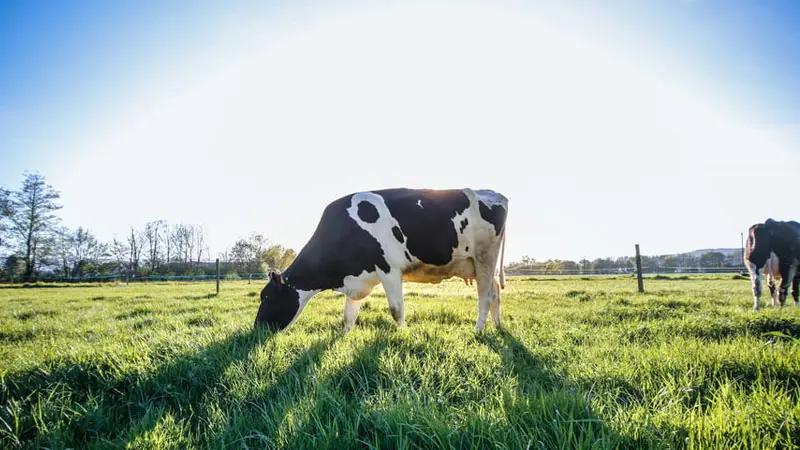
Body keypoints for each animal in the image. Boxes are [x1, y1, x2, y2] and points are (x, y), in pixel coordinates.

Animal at [253, 188, 510, 332]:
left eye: (266, 297)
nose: (256, 329)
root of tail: (494, 193)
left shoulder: (390, 270)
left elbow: (396, 310)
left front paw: (403, 334)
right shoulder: (357, 279)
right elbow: (348, 316)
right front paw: (343, 336)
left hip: (484, 257)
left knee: (485, 297)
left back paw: (478, 330)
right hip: (480, 264)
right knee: (496, 292)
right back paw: (497, 326)